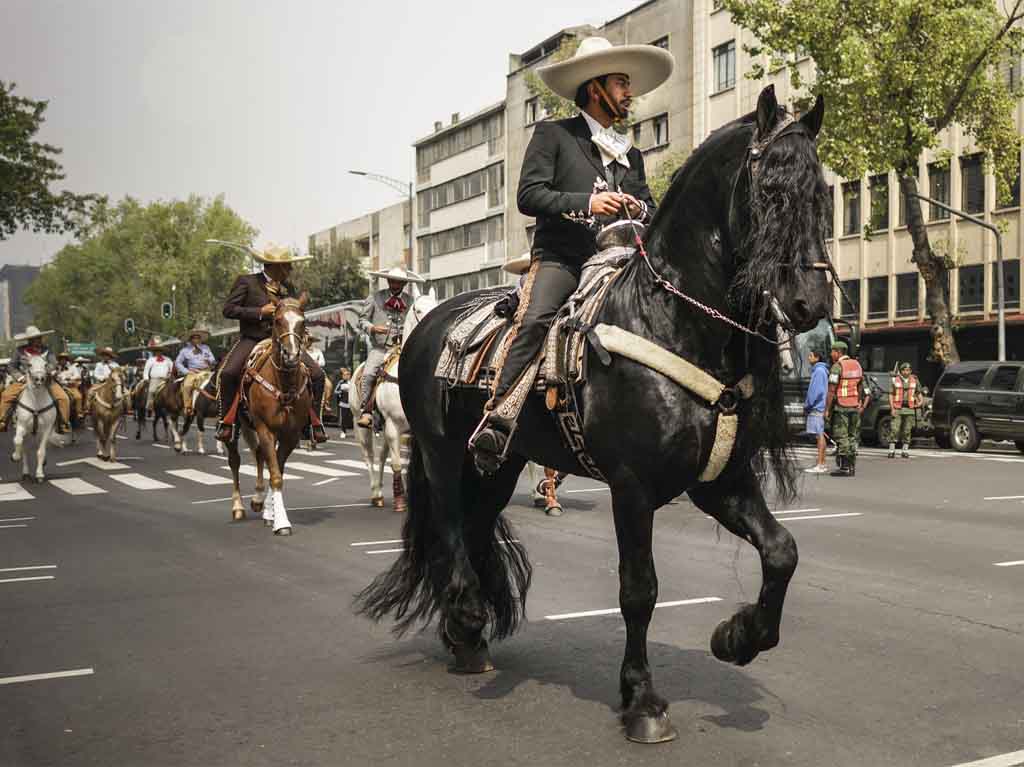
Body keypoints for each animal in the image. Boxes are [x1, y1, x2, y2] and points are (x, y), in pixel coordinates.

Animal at [227, 292, 311, 532]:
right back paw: (238, 506)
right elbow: (275, 475)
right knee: (235, 460)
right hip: (235, 425)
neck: (283, 383)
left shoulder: (290, 434)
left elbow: (277, 470)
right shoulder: (265, 428)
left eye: (303, 322)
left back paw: (257, 500)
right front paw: (281, 522)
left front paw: (269, 512)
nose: (291, 357)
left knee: (259, 455)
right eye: (278, 321)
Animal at [352, 290, 436, 512]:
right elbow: (397, 464)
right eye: (417, 310)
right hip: (361, 425)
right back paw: (376, 493)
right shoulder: (392, 426)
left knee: (381, 456)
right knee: (369, 457)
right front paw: (400, 500)